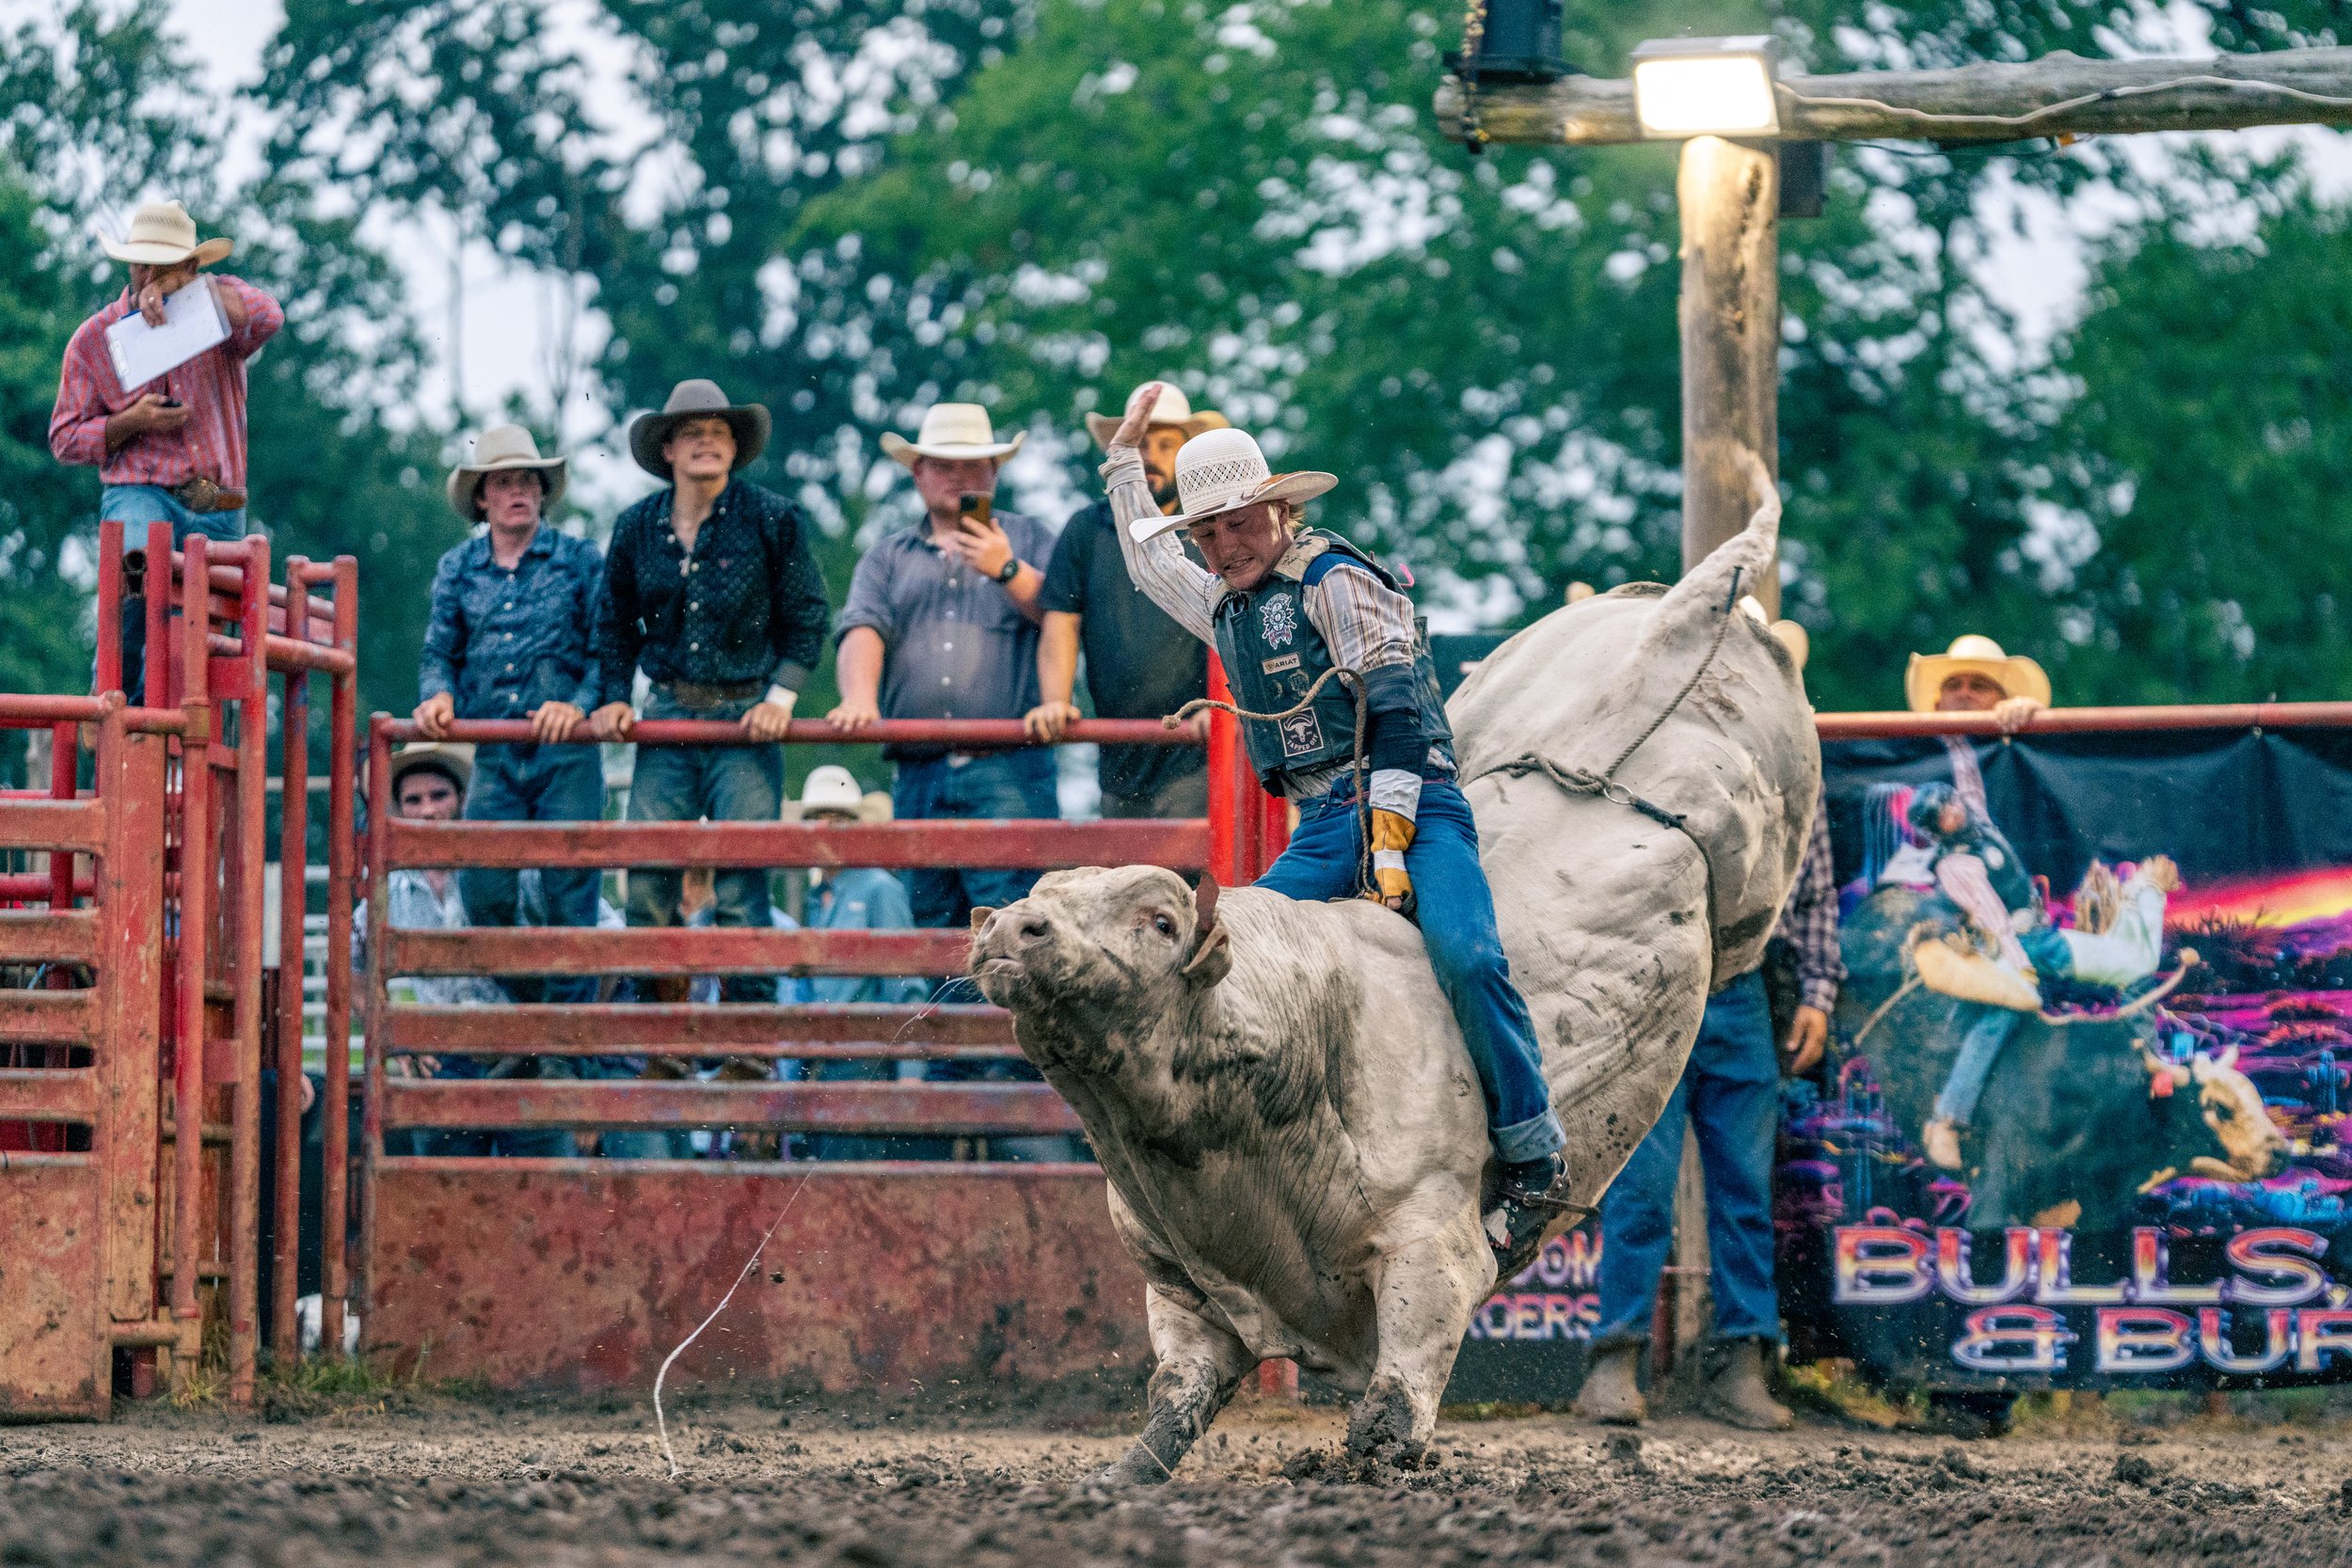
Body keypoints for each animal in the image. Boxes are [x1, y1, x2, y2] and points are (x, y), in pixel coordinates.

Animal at [969, 459, 1818, 1483]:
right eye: (1045, 889)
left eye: (1159, 917)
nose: (1012, 928)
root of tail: (1678, 617)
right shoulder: (1180, 1283)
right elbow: (1175, 1392)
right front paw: (1131, 1469)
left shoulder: (1433, 1249)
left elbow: (1394, 1396)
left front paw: (1376, 1451)